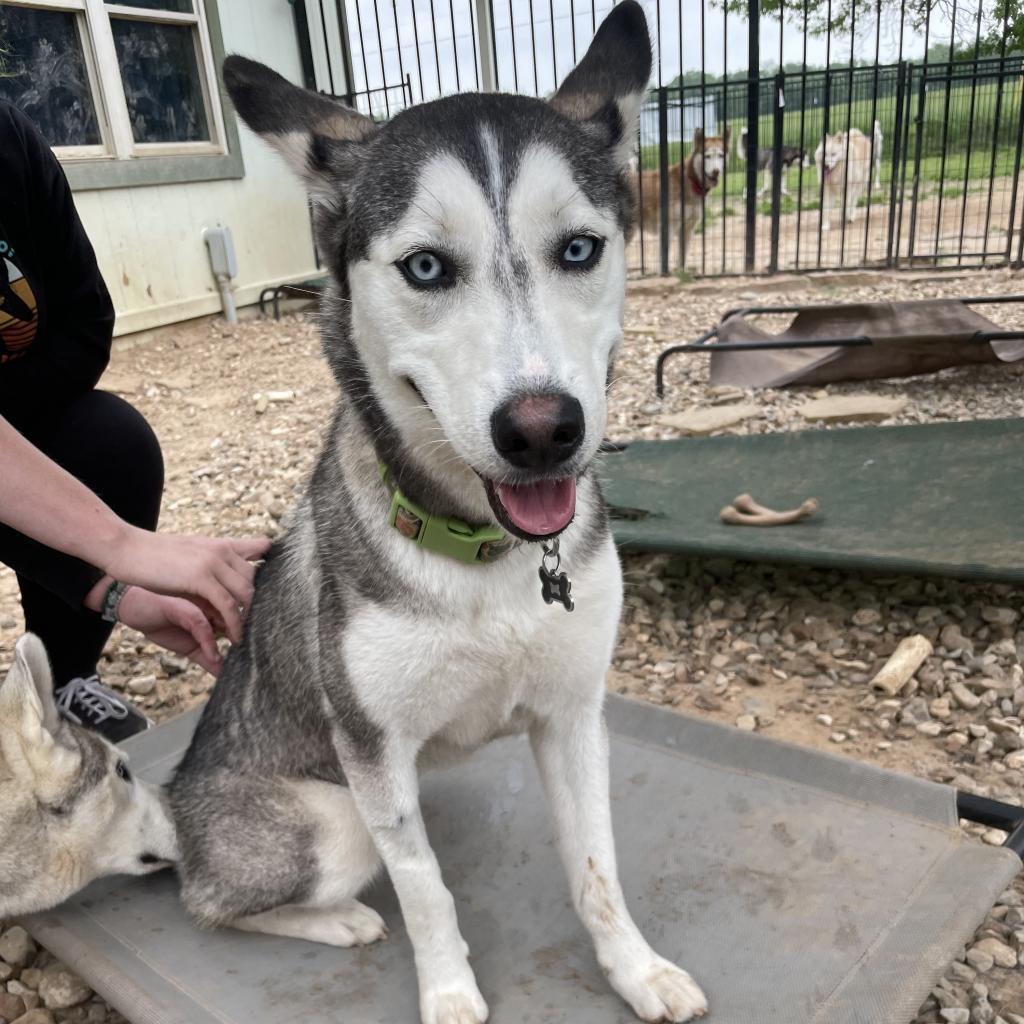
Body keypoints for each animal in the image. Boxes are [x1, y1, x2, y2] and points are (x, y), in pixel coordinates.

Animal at [167, 4, 712, 1019]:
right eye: (425, 267)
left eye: (579, 248)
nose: (542, 432)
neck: (488, 556)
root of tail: (172, 812)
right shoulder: (373, 755)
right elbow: (424, 890)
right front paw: (451, 992)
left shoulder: (574, 714)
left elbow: (596, 866)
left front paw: (635, 969)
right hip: (329, 821)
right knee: (211, 902)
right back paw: (336, 919)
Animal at [634, 124, 733, 266]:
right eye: (707, 156)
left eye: (721, 155)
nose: (716, 171)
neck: (690, 182)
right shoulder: (667, 229)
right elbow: (663, 260)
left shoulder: (687, 230)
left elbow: (682, 258)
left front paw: (681, 269)